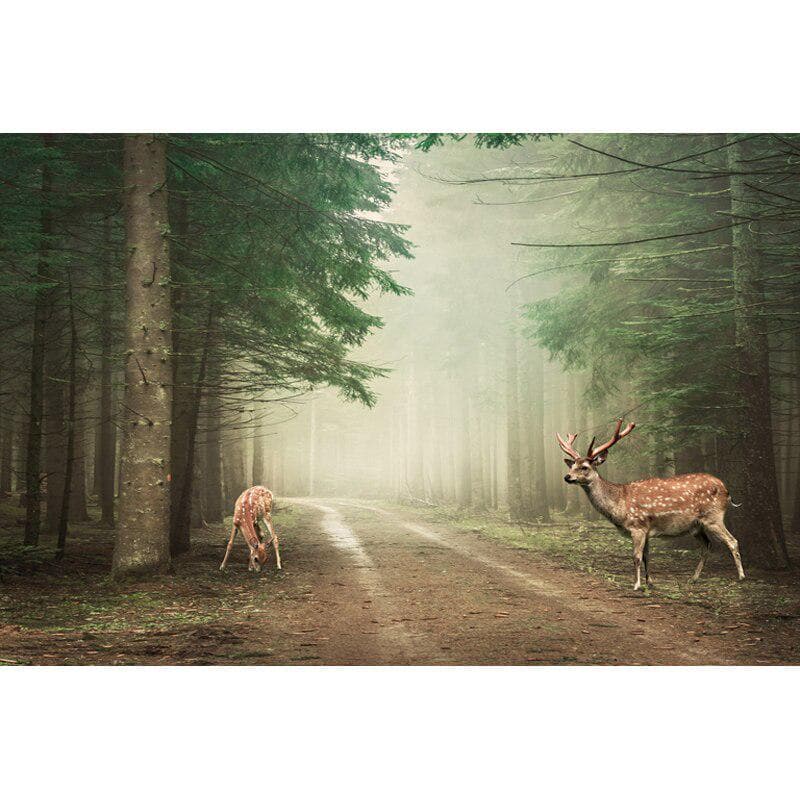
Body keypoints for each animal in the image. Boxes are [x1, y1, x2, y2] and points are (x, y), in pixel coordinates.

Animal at [556, 420, 745, 591]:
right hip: (696, 526)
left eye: (585, 467)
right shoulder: (646, 529)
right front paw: (650, 583)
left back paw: (741, 577)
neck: (619, 504)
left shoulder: (638, 526)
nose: (567, 477)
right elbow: (647, 556)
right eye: (572, 465)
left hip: (713, 516)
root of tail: (726, 490)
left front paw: (637, 585)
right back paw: (693, 579)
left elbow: (636, 557)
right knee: (707, 546)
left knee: (732, 541)